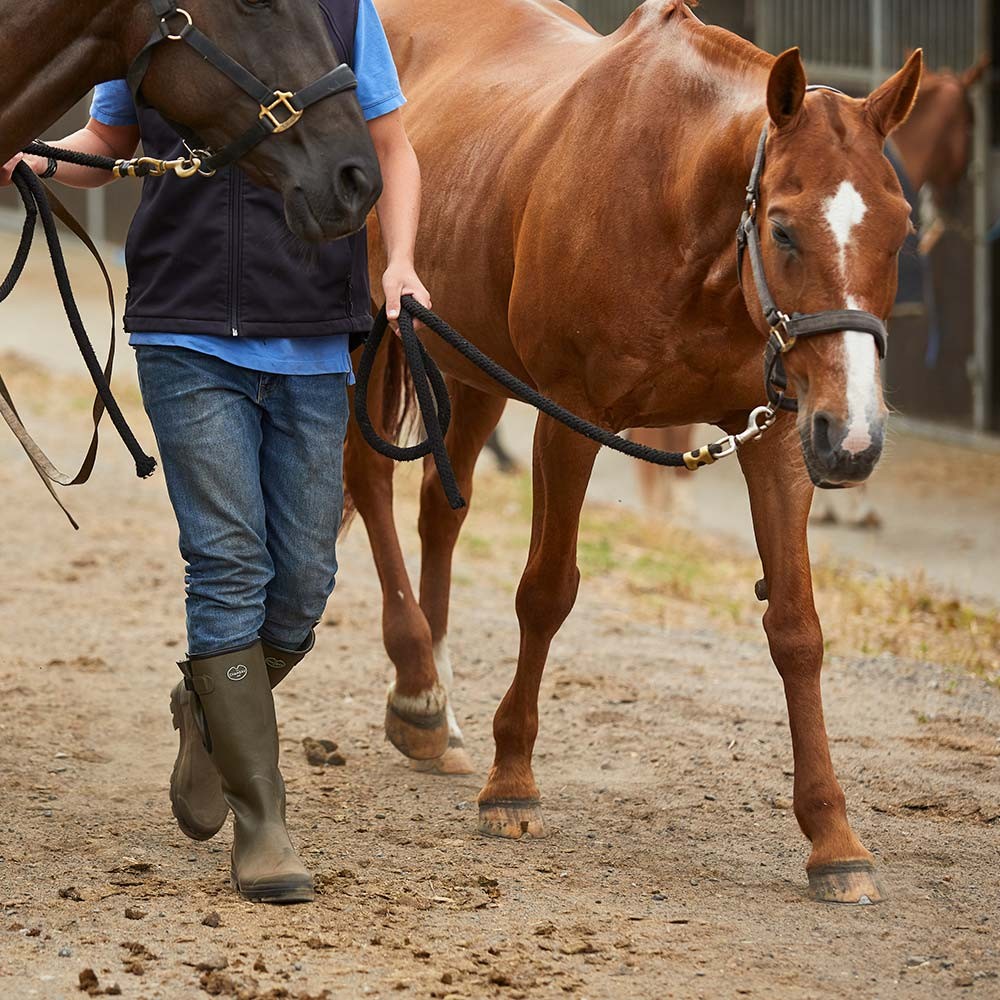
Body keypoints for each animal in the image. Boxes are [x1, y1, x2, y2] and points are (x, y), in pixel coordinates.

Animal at [346, 0, 920, 908]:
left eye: (899, 231)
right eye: (784, 230)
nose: (856, 436)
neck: (679, 209)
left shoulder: (777, 433)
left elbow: (797, 628)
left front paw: (834, 838)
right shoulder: (571, 420)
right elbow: (546, 593)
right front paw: (513, 784)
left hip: (467, 367)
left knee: (442, 506)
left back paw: (425, 705)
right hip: (374, 340)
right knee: (367, 479)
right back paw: (418, 676)